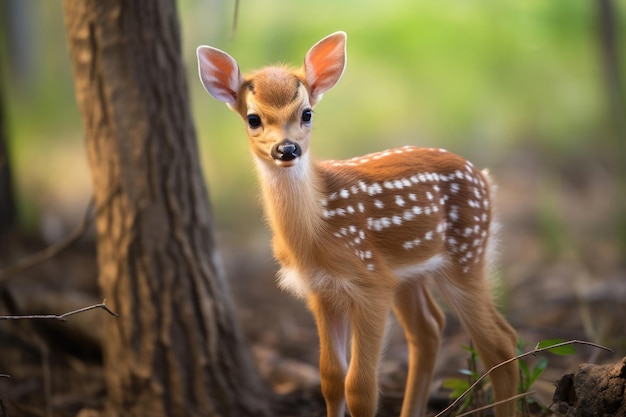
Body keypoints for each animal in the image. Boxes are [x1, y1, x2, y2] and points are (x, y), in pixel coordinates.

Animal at [196, 33, 516, 416]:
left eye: (307, 113)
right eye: (253, 118)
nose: (286, 149)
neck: (315, 232)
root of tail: (485, 179)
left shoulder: (371, 283)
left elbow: (361, 388)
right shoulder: (321, 290)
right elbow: (331, 379)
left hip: (466, 254)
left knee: (500, 342)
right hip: (410, 273)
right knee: (430, 329)